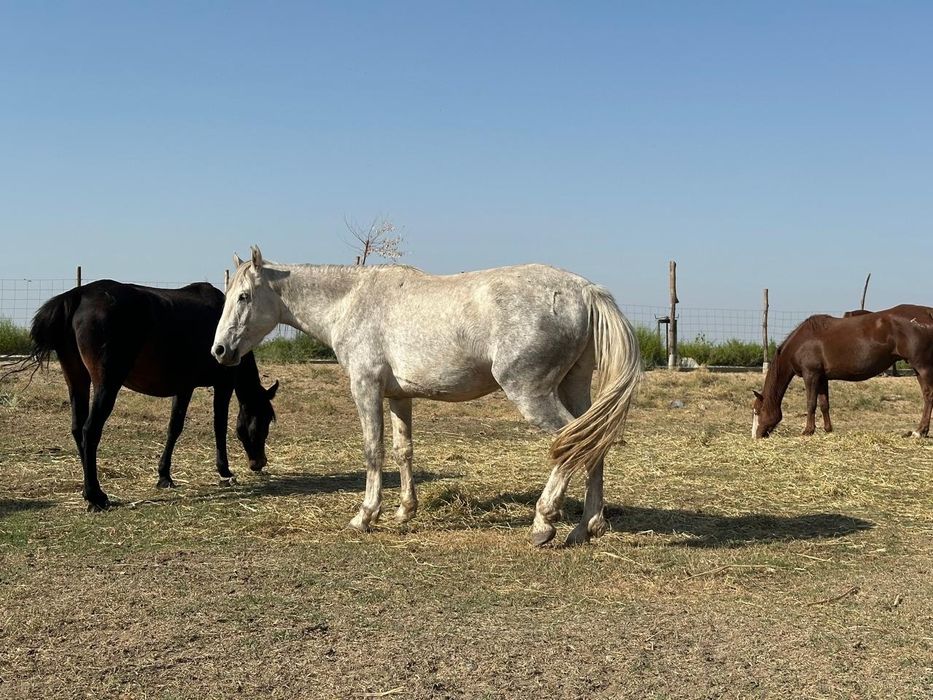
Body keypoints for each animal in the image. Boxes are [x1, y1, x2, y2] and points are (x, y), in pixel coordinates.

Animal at [29, 280, 279, 511]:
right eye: (265, 420)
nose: (259, 462)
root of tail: (78, 294)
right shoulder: (223, 385)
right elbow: (219, 426)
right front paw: (224, 471)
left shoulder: (184, 388)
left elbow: (174, 427)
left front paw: (164, 476)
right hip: (106, 385)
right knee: (89, 431)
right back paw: (95, 496)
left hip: (77, 379)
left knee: (77, 429)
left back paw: (93, 491)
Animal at [211, 247, 641, 547]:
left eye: (244, 296)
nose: (219, 351)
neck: (351, 302)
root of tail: (585, 291)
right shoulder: (399, 396)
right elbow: (404, 451)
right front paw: (404, 511)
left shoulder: (365, 387)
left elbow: (373, 450)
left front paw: (365, 516)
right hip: (574, 387)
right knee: (592, 442)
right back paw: (587, 527)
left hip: (531, 392)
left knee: (570, 442)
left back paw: (543, 523)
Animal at [752, 305, 933, 439]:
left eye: (757, 411)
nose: (756, 436)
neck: (801, 342)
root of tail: (927, 312)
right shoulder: (822, 377)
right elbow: (824, 404)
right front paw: (827, 429)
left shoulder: (810, 375)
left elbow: (811, 403)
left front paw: (808, 431)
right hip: (918, 369)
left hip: (922, 367)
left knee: (929, 395)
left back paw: (920, 432)